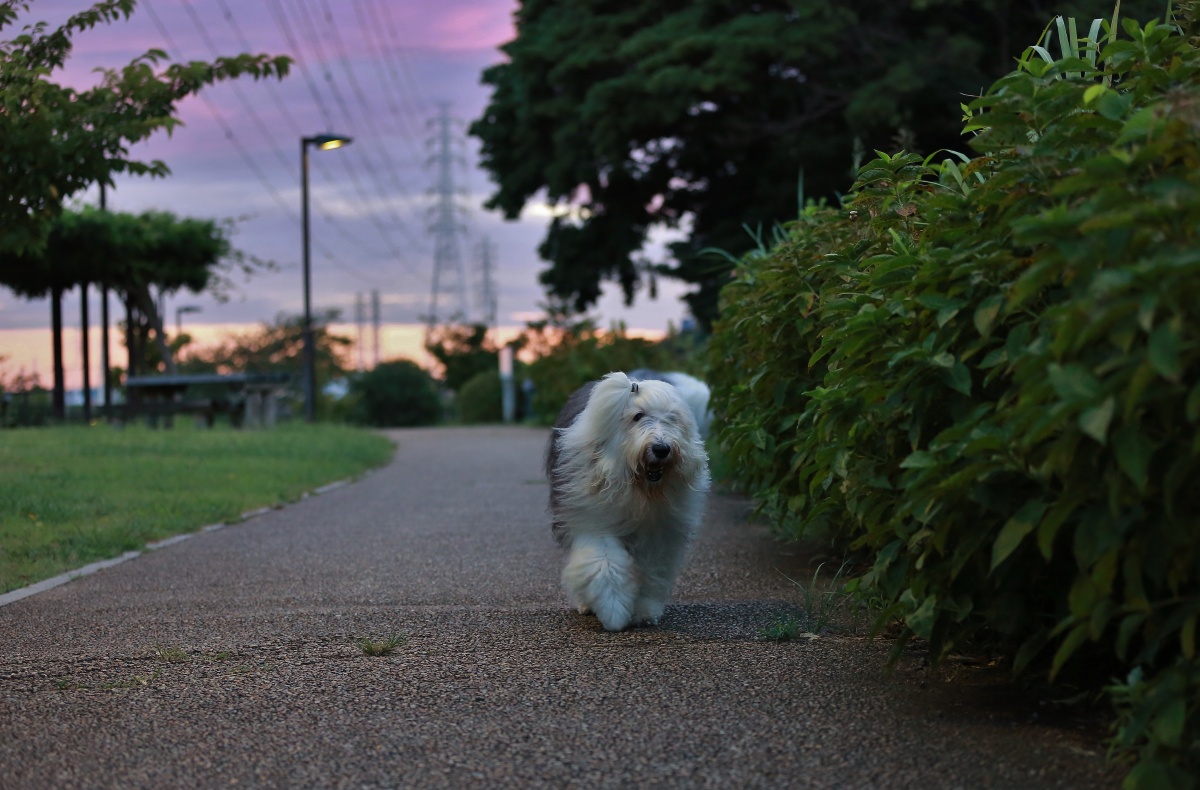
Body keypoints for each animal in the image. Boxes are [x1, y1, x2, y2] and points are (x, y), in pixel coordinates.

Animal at [546, 371, 711, 631]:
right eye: (637, 416)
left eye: (672, 418)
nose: (661, 448)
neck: (640, 489)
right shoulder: (593, 519)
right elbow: (605, 563)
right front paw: (613, 610)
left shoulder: (659, 533)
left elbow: (652, 571)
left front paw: (644, 611)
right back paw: (586, 604)